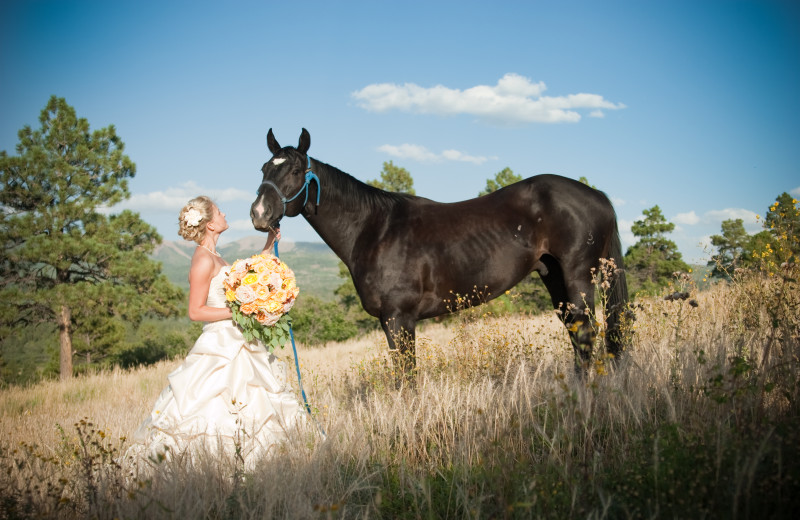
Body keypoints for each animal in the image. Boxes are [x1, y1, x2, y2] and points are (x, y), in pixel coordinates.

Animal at [253, 130, 628, 374]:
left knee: (586, 334)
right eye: (264, 169)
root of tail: (597, 195)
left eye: (296, 171)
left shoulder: (399, 319)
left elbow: (406, 377)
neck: (375, 228)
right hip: (555, 279)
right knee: (576, 334)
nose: (258, 214)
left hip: (580, 278)